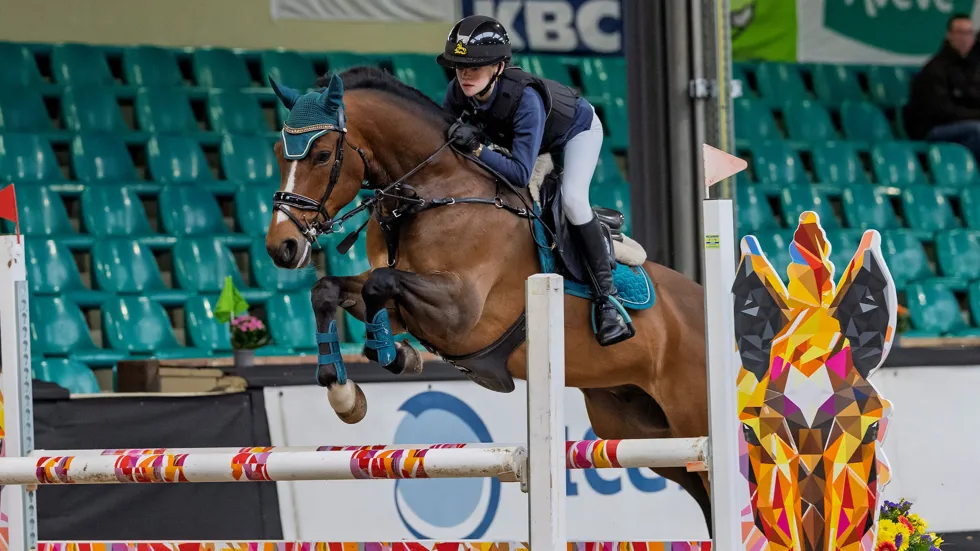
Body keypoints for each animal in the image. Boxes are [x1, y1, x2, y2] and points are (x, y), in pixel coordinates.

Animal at [262, 66, 713, 529]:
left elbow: (380, 284)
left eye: (321, 155)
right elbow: (330, 290)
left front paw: (391, 355)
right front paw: (346, 390)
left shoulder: (460, 311)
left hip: (693, 418)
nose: (281, 247)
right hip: (639, 430)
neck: (432, 190)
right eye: (280, 152)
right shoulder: (407, 303)